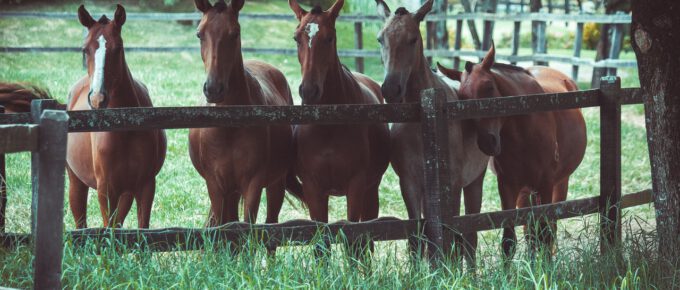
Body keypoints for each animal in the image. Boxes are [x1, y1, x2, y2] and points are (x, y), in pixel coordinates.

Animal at [66, 3, 167, 228]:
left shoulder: (145, 185)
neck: (125, 126)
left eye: (118, 48)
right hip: (76, 183)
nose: (97, 98)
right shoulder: (106, 189)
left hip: (126, 193)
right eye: (85, 49)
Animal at [189, 0, 300, 228]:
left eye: (235, 33)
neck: (229, 127)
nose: (213, 89)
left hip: (275, 183)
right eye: (199, 34)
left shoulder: (253, 184)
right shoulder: (216, 185)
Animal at [288, 0, 390, 245]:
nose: (309, 91)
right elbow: (320, 242)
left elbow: (354, 237)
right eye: (296, 38)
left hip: (371, 190)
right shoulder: (313, 188)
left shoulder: (356, 185)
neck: (329, 125)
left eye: (330, 38)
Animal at [374, 0, 492, 262]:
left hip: (474, 182)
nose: (391, 89)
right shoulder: (409, 183)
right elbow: (418, 236)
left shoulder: (453, 184)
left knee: (470, 237)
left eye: (413, 39)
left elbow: (452, 236)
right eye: (380, 39)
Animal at [438, 44, 588, 258]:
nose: (487, 142)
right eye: (462, 98)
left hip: (559, 184)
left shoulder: (546, 184)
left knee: (549, 228)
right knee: (530, 231)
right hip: (526, 191)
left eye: (489, 87)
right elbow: (509, 240)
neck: (525, 131)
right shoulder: (508, 186)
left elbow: (545, 234)